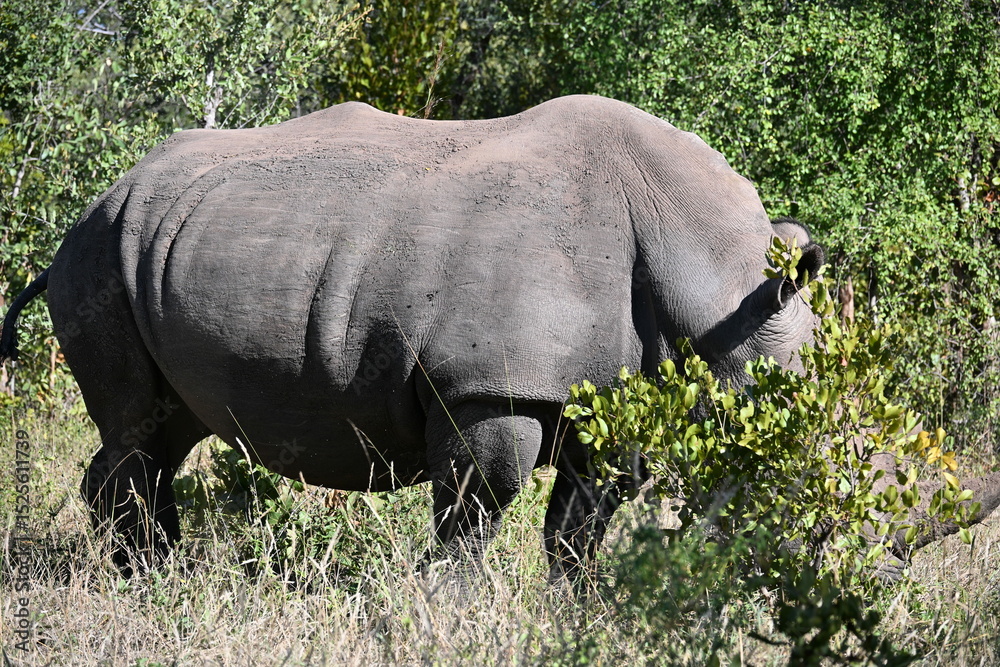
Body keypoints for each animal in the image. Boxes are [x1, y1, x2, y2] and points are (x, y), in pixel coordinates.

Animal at [1, 95, 995, 575]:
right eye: (806, 472)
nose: (865, 582)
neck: (715, 286)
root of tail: (87, 210)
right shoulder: (489, 386)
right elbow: (474, 516)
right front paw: (451, 610)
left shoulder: (624, 395)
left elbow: (579, 526)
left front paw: (573, 612)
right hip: (98, 253)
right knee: (136, 429)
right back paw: (153, 581)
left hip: (149, 248)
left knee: (162, 431)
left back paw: (160, 574)